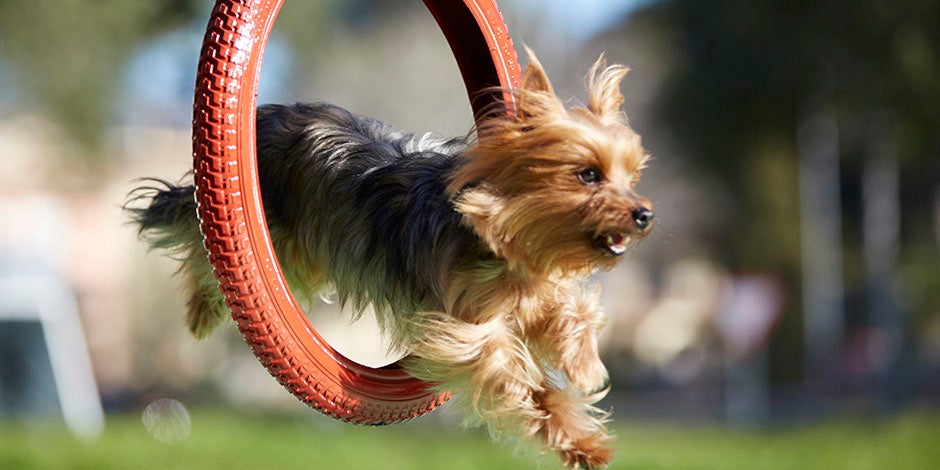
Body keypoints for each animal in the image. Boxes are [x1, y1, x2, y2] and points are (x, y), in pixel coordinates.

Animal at [126, 49, 652, 468]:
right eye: (587, 174)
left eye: (632, 177)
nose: (644, 214)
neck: (505, 249)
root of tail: (265, 114)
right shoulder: (469, 329)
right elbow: (518, 379)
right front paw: (582, 434)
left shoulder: (536, 286)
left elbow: (574, 312)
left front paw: (583, 375)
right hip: (274, 237)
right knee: (201, 247)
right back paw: (200, 310)